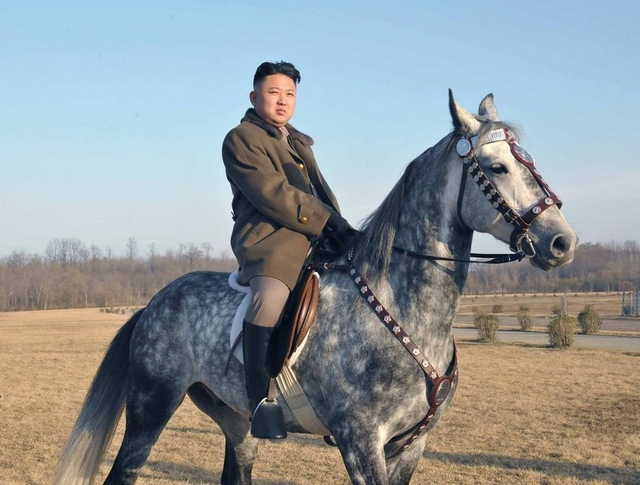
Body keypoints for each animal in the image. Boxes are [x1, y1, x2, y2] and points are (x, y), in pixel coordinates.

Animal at [53, 91, 577, 485]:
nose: (561, 241)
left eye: (530, 161)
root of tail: (153, 304)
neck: (404, 310)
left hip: (237, 422)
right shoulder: (361, 443)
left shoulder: (411, 445)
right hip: (151, 408)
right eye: (498, 167)